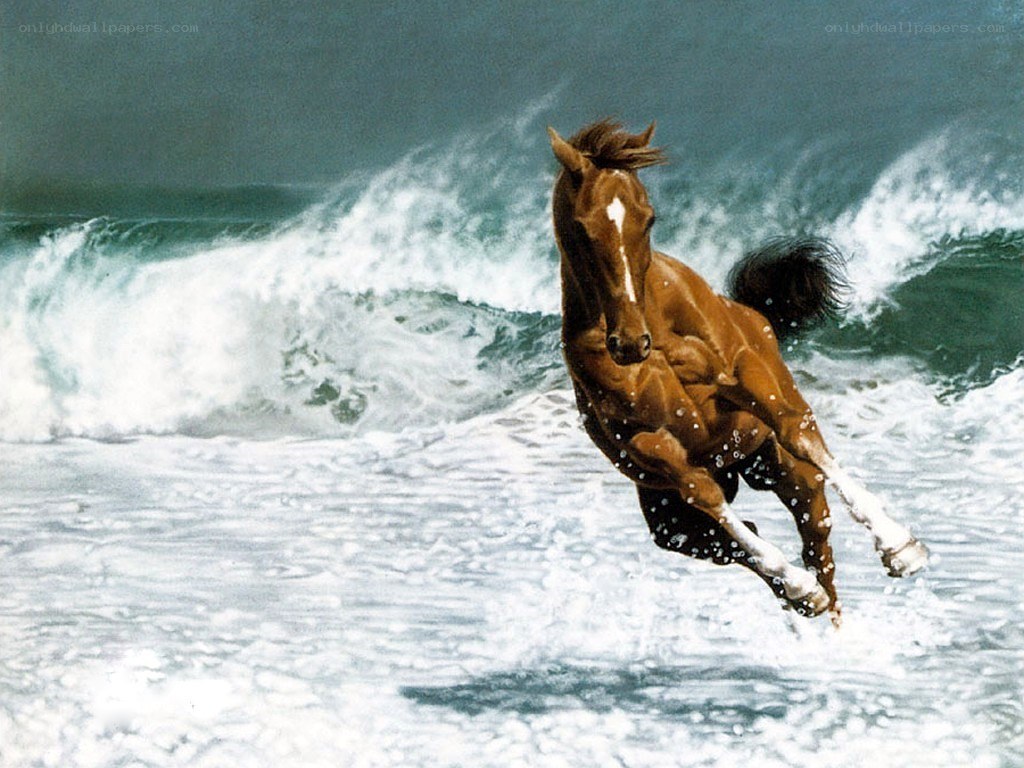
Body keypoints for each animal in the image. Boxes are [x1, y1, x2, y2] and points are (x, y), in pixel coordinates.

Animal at [548, 119, 929, 624]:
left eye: (648, 218)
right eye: (582, 228)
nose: (630, 344)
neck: (655, 322)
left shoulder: (742, 374)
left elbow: (793, 430)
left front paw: (900, 547)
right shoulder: (649, 442)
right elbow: (706, 496)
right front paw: (799, 587)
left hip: (779, 467)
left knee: (816, 531)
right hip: (671, 519)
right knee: (737, 539)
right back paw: (802, 595)